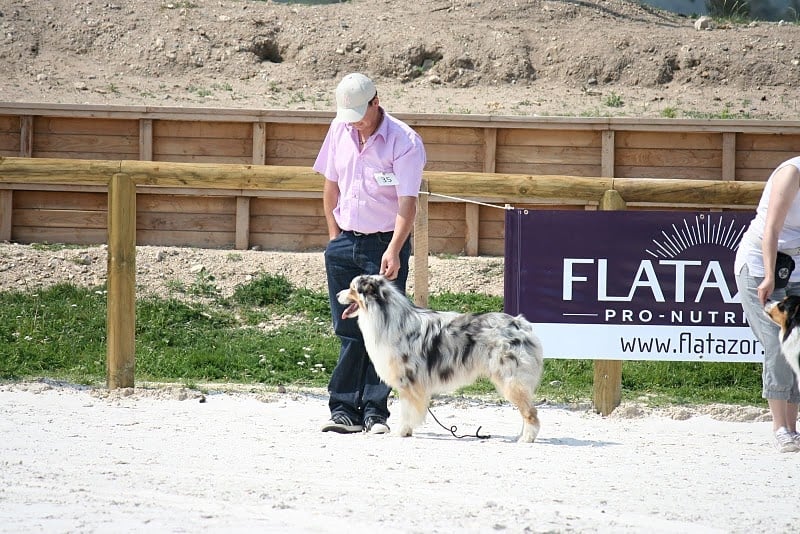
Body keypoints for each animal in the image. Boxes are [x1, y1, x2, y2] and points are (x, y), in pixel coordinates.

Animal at [337, 274, 544, 442]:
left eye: (352, 288)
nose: (337, 295)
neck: (384, 315)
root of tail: (521, 324)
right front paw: (407, 431)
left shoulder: (408, 381)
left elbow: (406, 411)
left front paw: (402, 431)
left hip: (511, 379)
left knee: (531, 412)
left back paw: (526, 438)